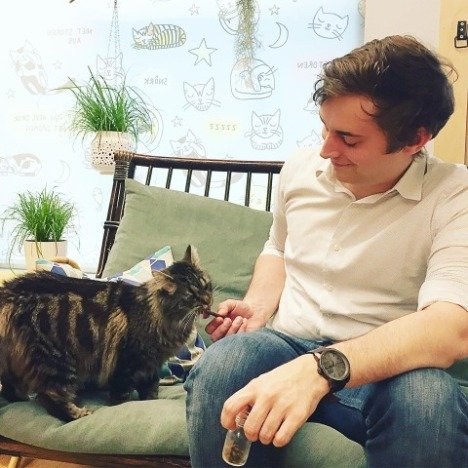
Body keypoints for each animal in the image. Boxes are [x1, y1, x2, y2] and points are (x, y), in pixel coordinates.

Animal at [0, 245, 212, 421]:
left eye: (205, 285)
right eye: (190, 295)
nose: (208, 301)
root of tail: (9, 291)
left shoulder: (150, 364)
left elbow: (151, 387)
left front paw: (149, 400)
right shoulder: (127, 363)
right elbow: (122, 394)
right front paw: (123, 405)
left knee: (11, 390)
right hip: (56, 361)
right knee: (49, 397)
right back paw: (78, 414)